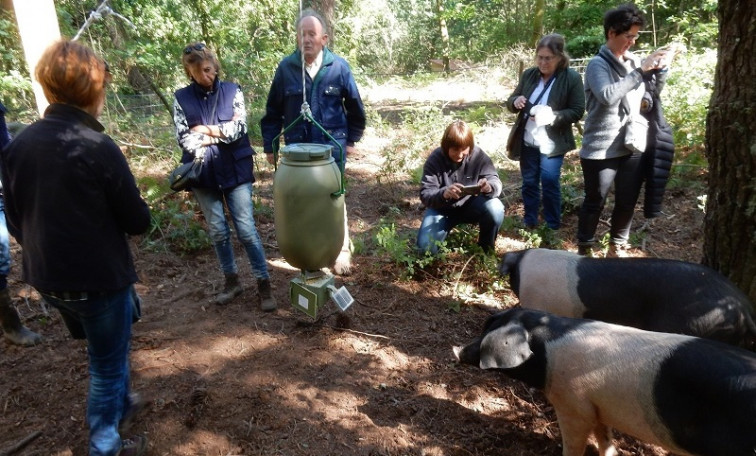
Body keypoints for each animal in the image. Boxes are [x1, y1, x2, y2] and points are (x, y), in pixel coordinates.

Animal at [454, 308, 756, 456]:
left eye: (489, 335)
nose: (457, 350)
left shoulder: (573, 404)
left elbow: (575, 440)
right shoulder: (597, 406)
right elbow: (604, 437)